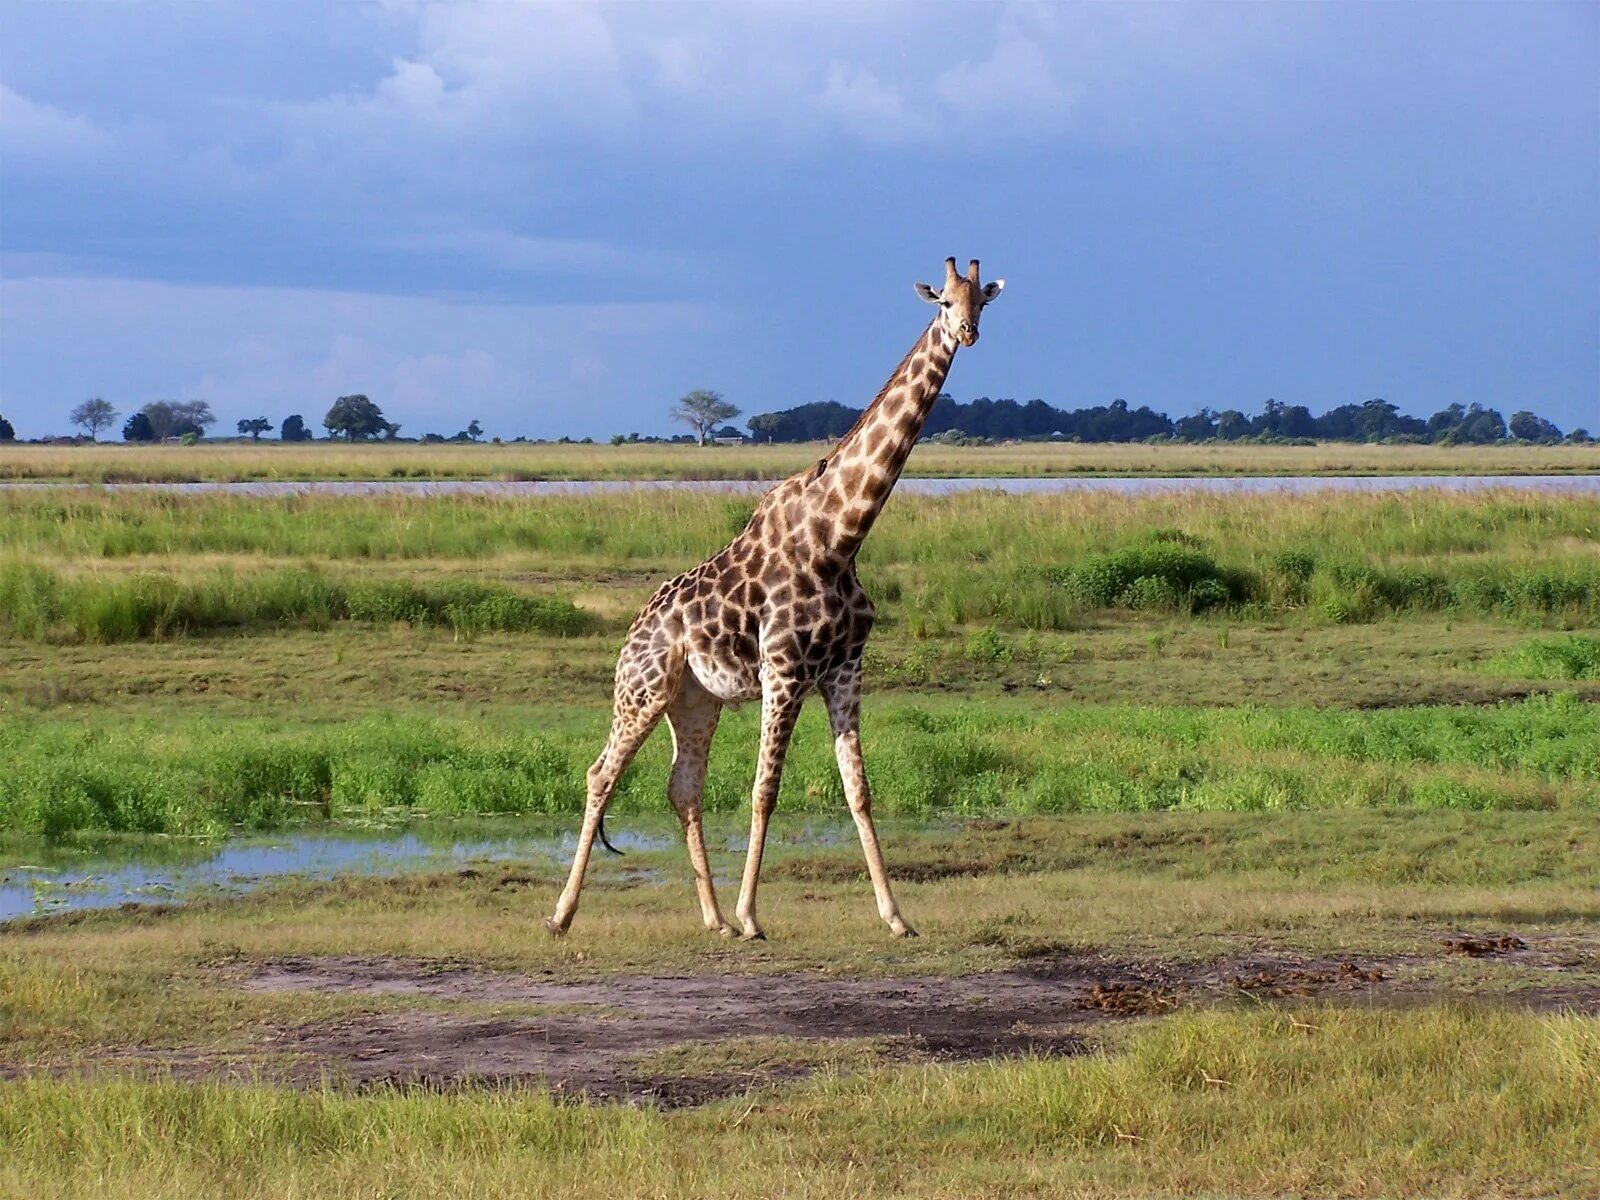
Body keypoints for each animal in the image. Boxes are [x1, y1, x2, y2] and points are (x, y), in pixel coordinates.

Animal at [547, 259, 998, 947]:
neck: (840, 536)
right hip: (642, 690)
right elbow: (765, 790)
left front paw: (896, 916)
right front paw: (752, 915)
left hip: (695, 700)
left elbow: (859, 789)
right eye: (943, 301)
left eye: (984, 301)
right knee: (603, 774)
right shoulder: (782, 670)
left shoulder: (844, 670)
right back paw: (563, 914)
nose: (967, 332)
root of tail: (633, 630)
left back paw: (711, 919)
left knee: (683, 787)